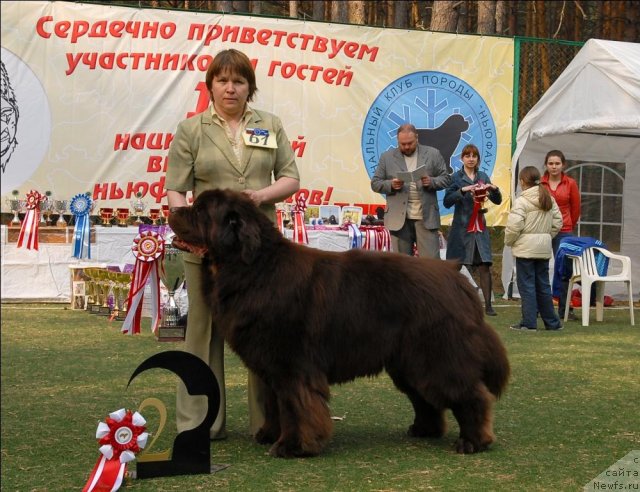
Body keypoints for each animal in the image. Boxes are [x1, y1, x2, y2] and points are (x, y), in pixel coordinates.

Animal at [169, 188, 510, 458]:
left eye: (200, 210)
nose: (171, 209)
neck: (254, 269)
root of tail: (457, 278)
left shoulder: (292, 365)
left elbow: (295, 405)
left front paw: (293, 446)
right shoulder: (269, 365)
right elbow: (274, 403)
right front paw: (269, 434)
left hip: (438, 356)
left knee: (469, 394)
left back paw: (473, 441)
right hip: (408, 362)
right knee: (425, 397)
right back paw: (424, 429)